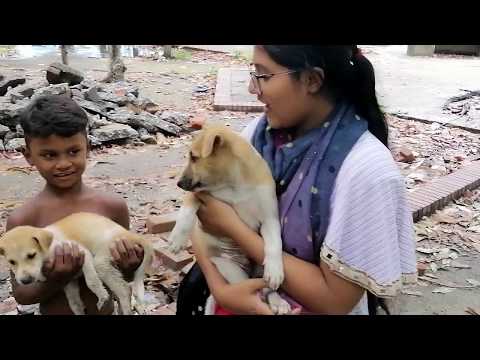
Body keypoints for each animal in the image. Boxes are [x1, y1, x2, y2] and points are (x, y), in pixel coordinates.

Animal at [0, 212, 152, 316]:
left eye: (31, 255)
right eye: (12, 262)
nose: (25, 281)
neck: (46, 251)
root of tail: (131, 235)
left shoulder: (83, 253)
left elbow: (91, 281)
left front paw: (102, 296)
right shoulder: (68, 279)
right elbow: (73, 301)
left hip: (102, 260)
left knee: (124, 290)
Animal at [167, 124, 290, 316]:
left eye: (194, 157)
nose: (179, 183)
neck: (232, 185)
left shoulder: (269, 218)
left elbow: (274, 243)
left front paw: (275, 269)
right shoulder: (201, 194)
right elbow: (188, 205)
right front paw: (177, 239)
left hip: (256, 267)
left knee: (265, 288)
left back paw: (278, 301)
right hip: (230, 268)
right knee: (251, 288)